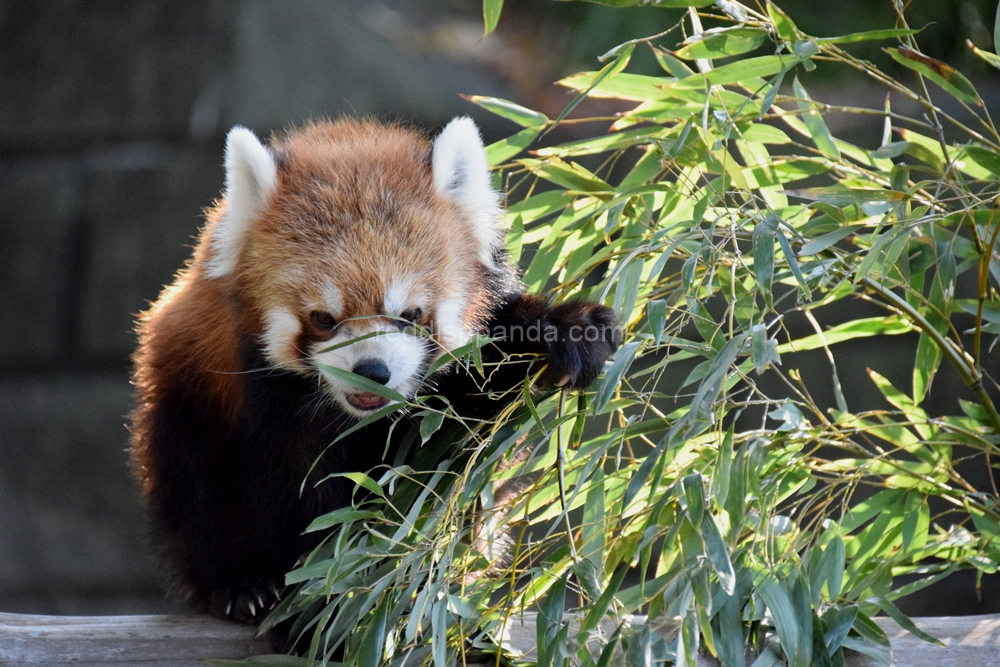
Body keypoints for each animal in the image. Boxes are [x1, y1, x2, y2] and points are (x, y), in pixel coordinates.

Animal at [131, 116, 616, 628]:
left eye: (410, 314)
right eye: (324, 318)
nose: (372, 370)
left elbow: (451, 455)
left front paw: (567, 330)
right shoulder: (264, 392)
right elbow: (298, 493)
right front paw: (321, 600)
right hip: (186, 403)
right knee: (195, 491)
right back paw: (239, 584)